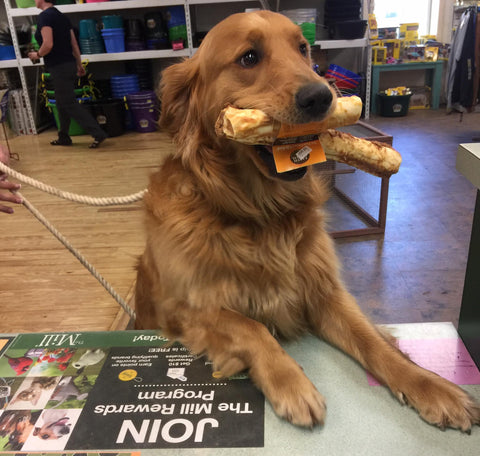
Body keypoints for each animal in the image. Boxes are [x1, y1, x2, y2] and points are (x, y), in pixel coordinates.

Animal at [135, 10, 480, 432]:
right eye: (249, 57)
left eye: (303, 49)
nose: (321, 96)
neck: (260, 214)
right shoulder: (180, 309)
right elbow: (249, 326)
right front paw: (292, 384)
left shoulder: (323, 291)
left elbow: (375, 342)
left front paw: (431, 386)